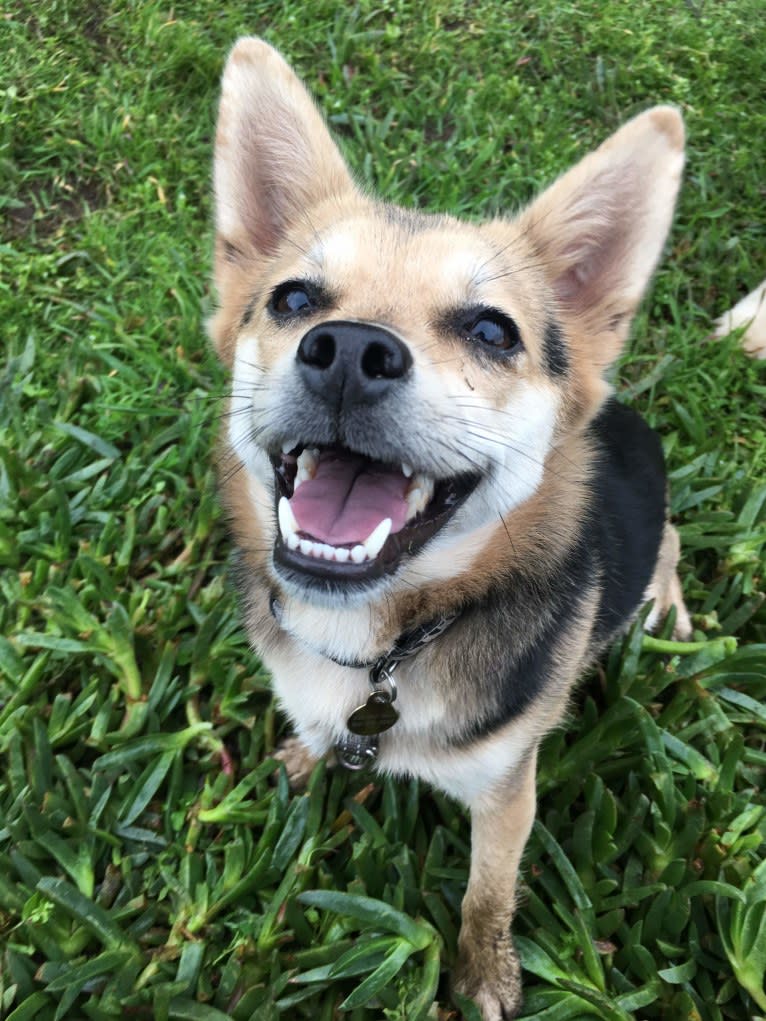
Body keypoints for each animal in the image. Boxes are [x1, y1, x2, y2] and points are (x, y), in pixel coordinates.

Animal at [207, 37, 694, 1021]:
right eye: (293, 300)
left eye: (492, 331)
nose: (349, 351)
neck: (381, 642)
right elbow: (316, 734)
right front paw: (305, 756)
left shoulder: (509, 791)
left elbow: (487, 892)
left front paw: (483, 974)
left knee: (668, 545)